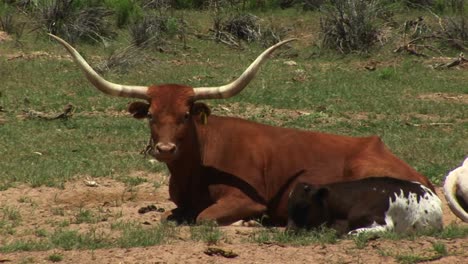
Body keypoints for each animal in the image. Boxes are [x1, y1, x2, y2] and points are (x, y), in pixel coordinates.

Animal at [49, 34, 434, 226]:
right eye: (151, 115)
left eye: (186, 114)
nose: (165, 149)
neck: (194, 169)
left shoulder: (246, 199)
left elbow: (204, 218)